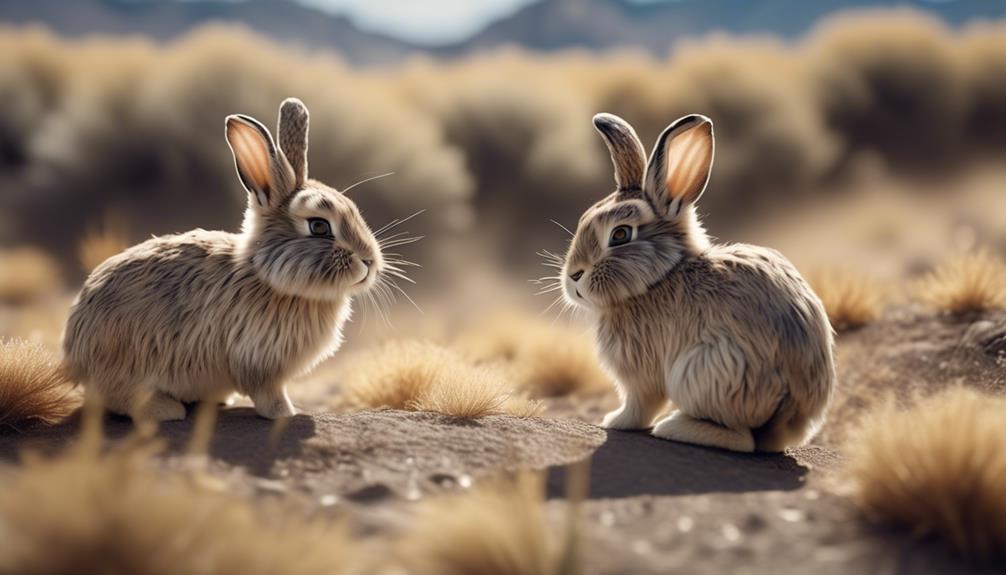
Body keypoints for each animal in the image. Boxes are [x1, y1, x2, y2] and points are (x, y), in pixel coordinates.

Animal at [563, 113, 836, 454]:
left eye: (620, 234)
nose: (573, 276)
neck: (660, 277)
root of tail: (792, 419)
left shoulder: (640, 374)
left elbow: (640, 405)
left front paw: (614, 420)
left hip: (706, 372)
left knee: (741, 438)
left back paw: (673, 427)